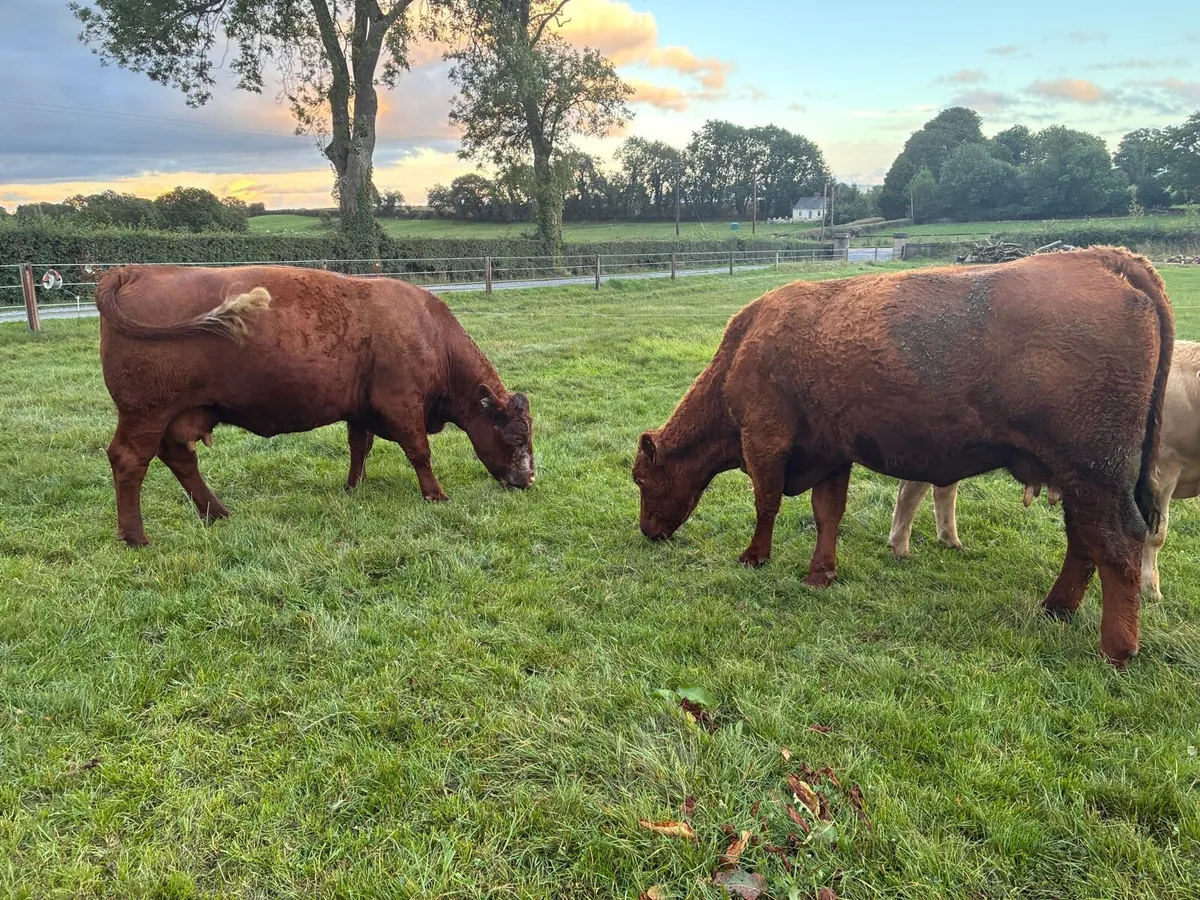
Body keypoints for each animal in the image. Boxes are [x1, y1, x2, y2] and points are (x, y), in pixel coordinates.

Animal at [96, 265, 534, 547]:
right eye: (517, 436)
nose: (528, 481)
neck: (429, 332)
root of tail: (136, 271)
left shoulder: (361, 411)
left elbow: (360, 448)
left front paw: (353, 487)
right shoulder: (401, 405)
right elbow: (419, 452)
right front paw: (435, 495)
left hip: (173, 417)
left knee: (180, 459)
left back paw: (217, 513)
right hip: (146, 415)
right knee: (129, 461)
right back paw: (136, 537)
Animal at [889, 340, 1200, 602]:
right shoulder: (1163, 468)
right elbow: (1156, 535)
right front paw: (1150, 590)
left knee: (942, 488)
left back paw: (949, 540)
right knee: (913, 489)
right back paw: (901, 546)